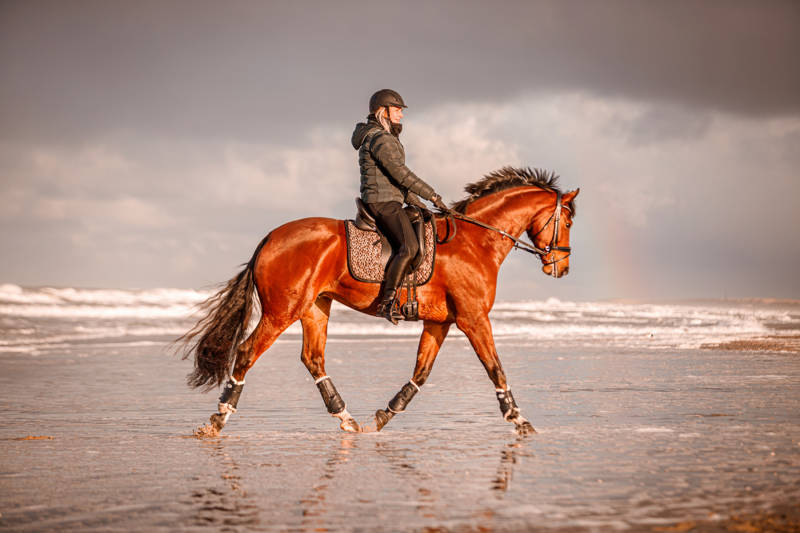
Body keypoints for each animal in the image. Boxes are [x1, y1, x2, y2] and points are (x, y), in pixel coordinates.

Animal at [180, 167, 580, 436]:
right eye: (568, 222)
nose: (562, 267)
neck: (475, 241)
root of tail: (270, 237)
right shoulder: (473, 319)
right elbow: (495, 368)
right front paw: (519, 419)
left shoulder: (440, 322)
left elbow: (421, 372)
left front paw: (386, 414)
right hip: (283, 312)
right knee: (247, 352)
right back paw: (218, 419)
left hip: (315, 308)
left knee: (313, 358)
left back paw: (346, 418)